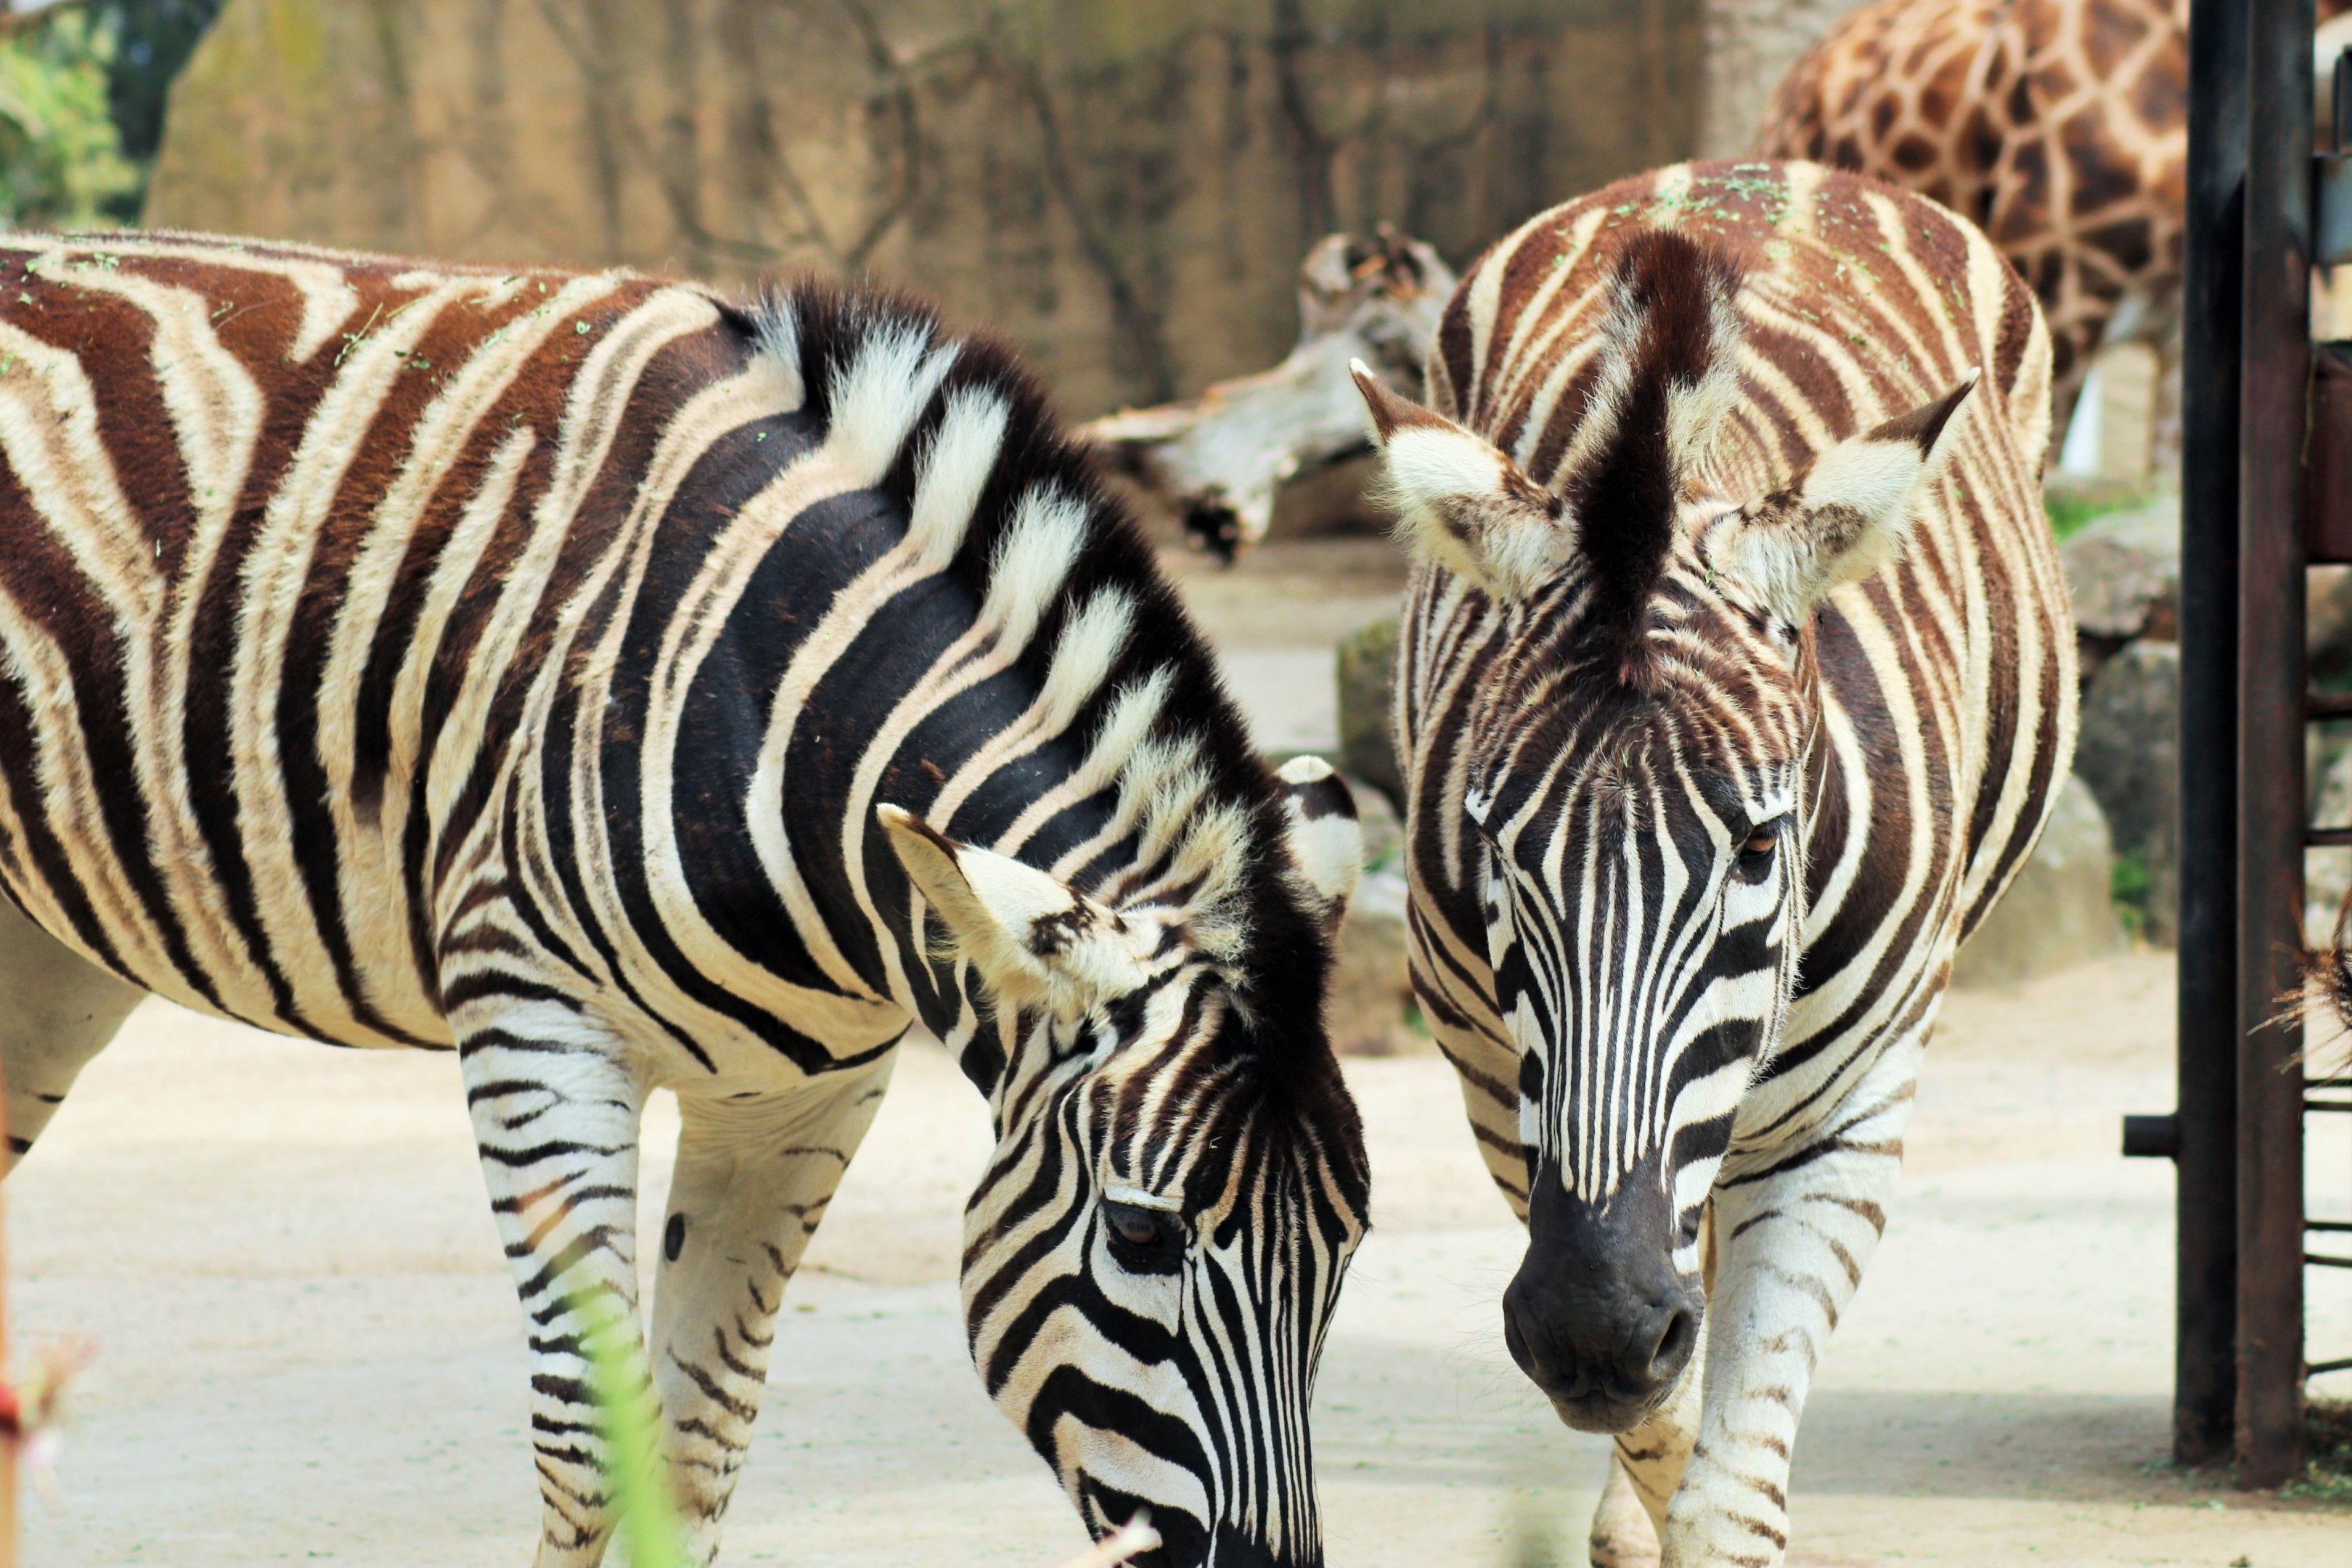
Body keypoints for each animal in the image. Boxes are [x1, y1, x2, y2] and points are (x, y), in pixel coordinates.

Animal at [0, 232, 1373, 1568]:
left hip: (44, 962)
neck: (789, 708)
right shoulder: (533, 1025)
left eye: (1349, 1242)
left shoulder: (802, 1098)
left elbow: (699, 1446)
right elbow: (587, 1443)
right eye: (1143, 1237)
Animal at [1350, 159, 2072, 1565]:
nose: (1593, 1331)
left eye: (1756, 847)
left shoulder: (1851, 1109)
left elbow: (1729, 1492)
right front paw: (1637, 1492)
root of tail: (1778, 171)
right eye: (1496, 844)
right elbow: (1670, 1427)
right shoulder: (1497, 1089)